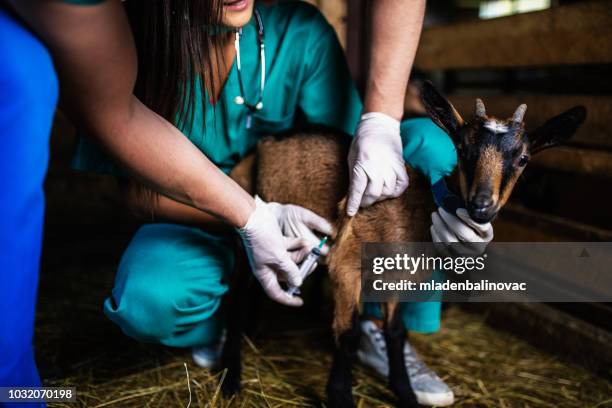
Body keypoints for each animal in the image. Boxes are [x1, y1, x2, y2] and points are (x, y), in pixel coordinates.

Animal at [222, 81, 584, 406]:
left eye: (523, 158)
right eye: (462, 149)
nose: (482, 205)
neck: (416, 213)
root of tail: (262, 144)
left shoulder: (396, 278)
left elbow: (396, 333)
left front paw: (406, 394)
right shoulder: (346, 264)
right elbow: (348, 332)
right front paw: (340, 396)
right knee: (236, 294)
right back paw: (231, 379)